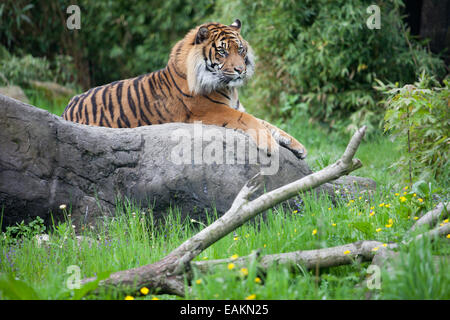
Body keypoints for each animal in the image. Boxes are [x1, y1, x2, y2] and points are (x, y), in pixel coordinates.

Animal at [61, 18, 308, 159]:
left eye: (241, 49)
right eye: (223, 52)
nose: (240, 70)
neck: (229, 89)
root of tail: (66, 108)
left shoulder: (237, 107)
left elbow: (269, 124)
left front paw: (299, 147)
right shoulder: (212, 111)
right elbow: (251, 121)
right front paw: (271, 146)